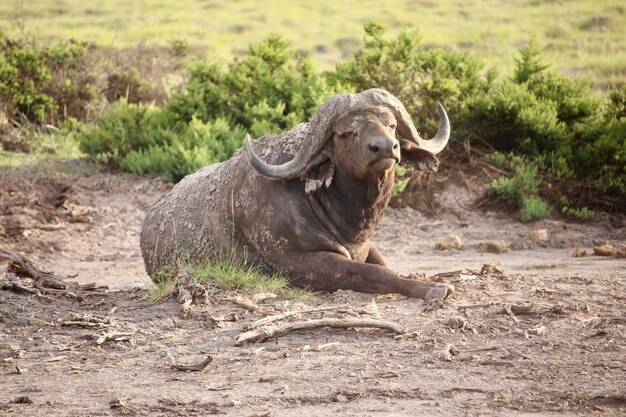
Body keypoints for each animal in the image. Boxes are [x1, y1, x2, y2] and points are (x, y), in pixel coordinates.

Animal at [140, 88, 454, 300]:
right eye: (346, 133)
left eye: (390, 124)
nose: (386, 147)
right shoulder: (306, 263)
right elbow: (376, 273)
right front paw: (433, 288)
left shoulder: (367, 247)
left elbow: (385, 265)